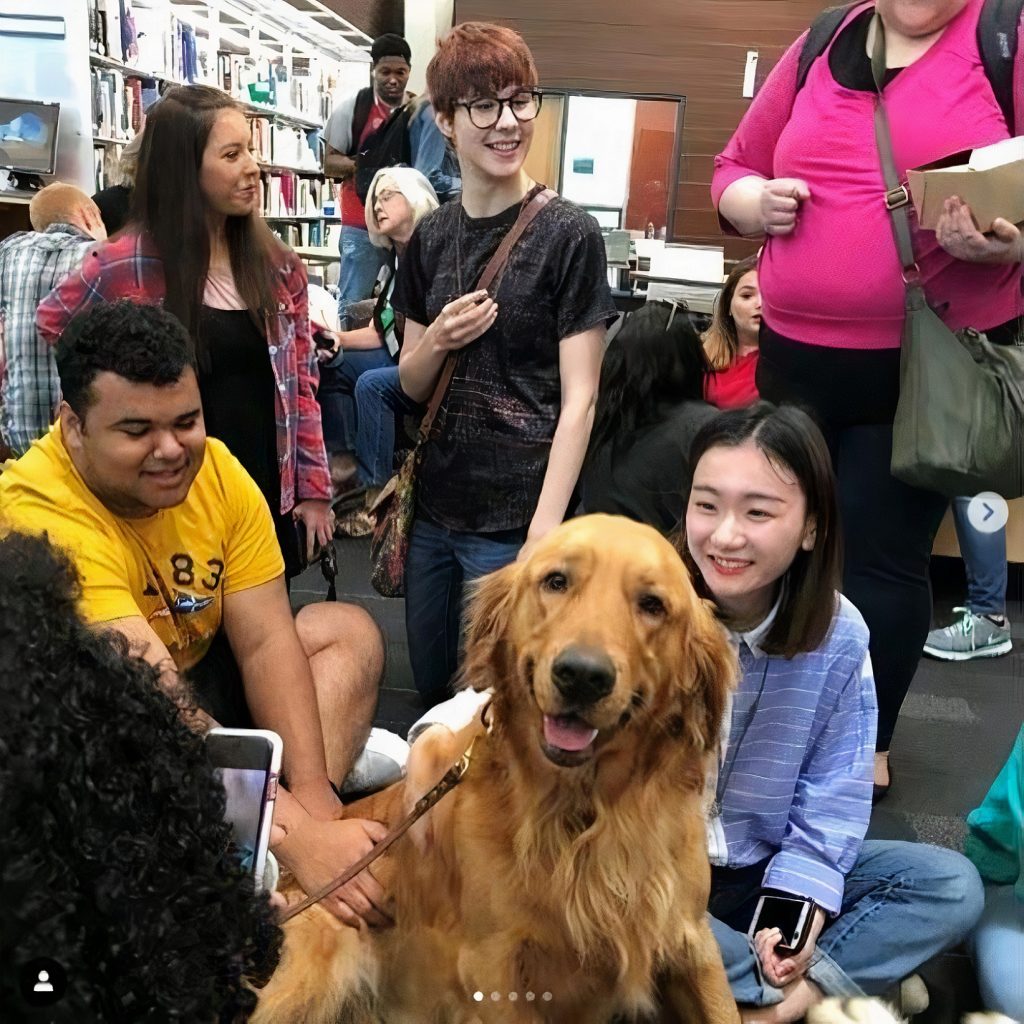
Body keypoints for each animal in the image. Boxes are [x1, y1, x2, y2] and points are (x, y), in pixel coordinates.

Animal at [254, 520, 737, 1024]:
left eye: (652, 605)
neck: (587, 813)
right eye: (556, 581)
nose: (582, 675)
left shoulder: (691, 942)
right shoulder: (493, 965)